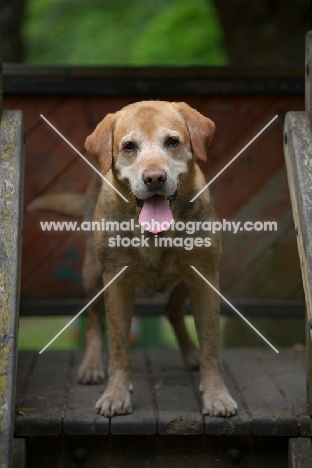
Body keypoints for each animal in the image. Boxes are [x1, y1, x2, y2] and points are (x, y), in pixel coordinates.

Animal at [29, 101, 239, 416]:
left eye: (172, 142)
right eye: (129, 146)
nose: (154, 178)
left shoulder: (205, 276)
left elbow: (211, 344)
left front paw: (216, 394)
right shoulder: (116, 282)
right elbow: (118, 346)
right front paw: (116, 394)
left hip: (186, 276)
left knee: (172, 310)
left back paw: (190, 353)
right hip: (93, 274)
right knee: (93, 320)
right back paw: (92, 366)